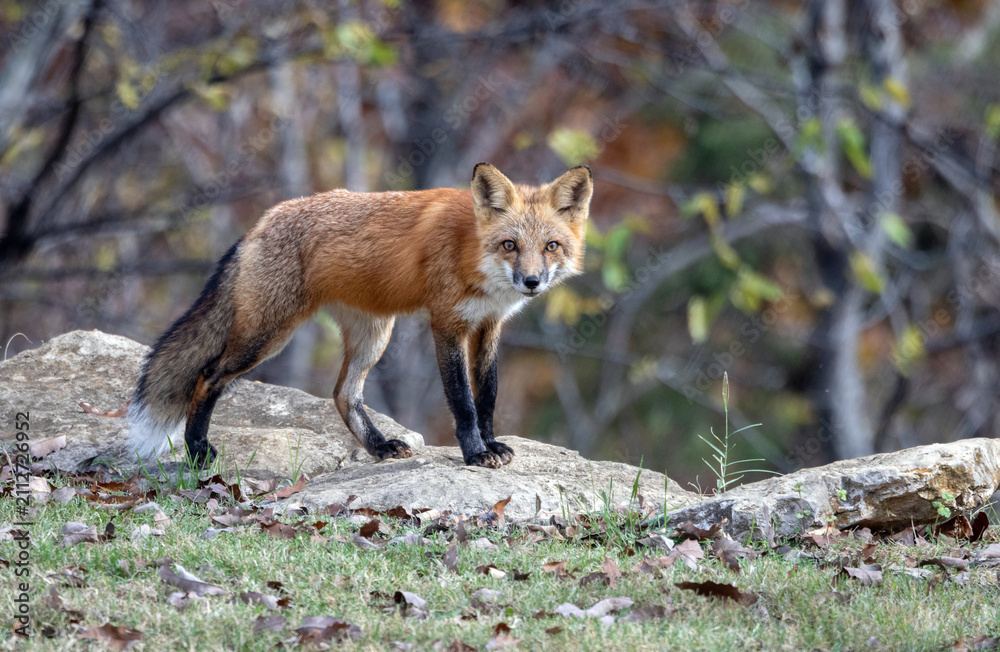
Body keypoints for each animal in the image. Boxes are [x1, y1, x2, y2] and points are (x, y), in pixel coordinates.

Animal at [126, 163, 593, 468]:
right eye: (510, 245)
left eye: (551, 246)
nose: (531, 282)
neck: (471, 252)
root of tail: (260, 223)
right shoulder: (447, 323)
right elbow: (463, 400)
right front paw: (475, 452)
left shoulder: (489, 325)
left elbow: (488, 395)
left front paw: (491, 443)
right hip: (267, 335)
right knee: (208, 375)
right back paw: (196, 449)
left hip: (374, 335)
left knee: (343, 393)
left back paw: (379, 447)